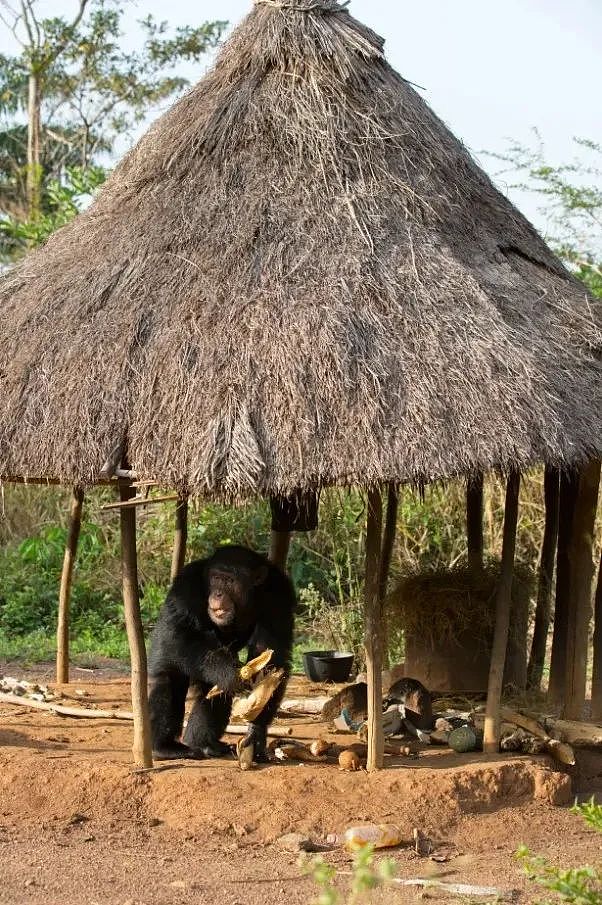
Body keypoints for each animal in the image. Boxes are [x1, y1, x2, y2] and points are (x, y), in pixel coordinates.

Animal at [146, 548, 294, 760]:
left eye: (229, 581)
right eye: (216, 578)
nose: (217, 593)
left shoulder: (280, 596)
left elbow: (271, 654)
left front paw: (256, 734)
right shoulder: (185, 589)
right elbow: (183, 633)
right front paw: (228, 672)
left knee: (213, 689)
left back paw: (204, 744)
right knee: (168, 679)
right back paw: (164, 746)